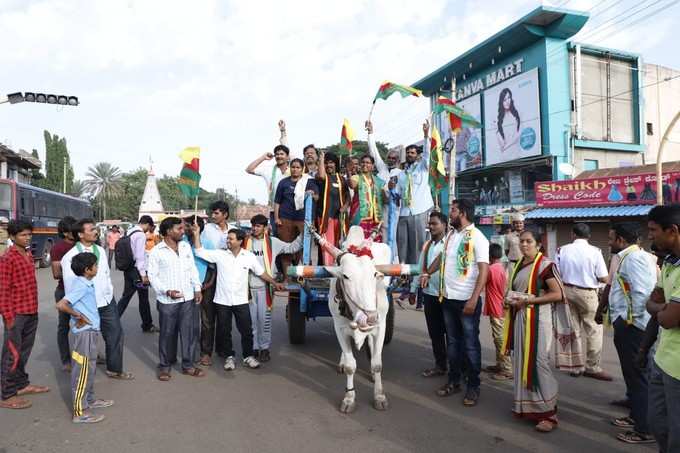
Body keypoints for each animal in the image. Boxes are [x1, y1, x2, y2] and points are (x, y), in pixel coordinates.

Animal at [312, 224, 390, 412]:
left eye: (375, 274)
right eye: (345, 276)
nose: (370, 317)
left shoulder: (381, 325)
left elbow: (377, 364)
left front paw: (379, 396)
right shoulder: (339, 328)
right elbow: (350, 365)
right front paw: (349, 398)